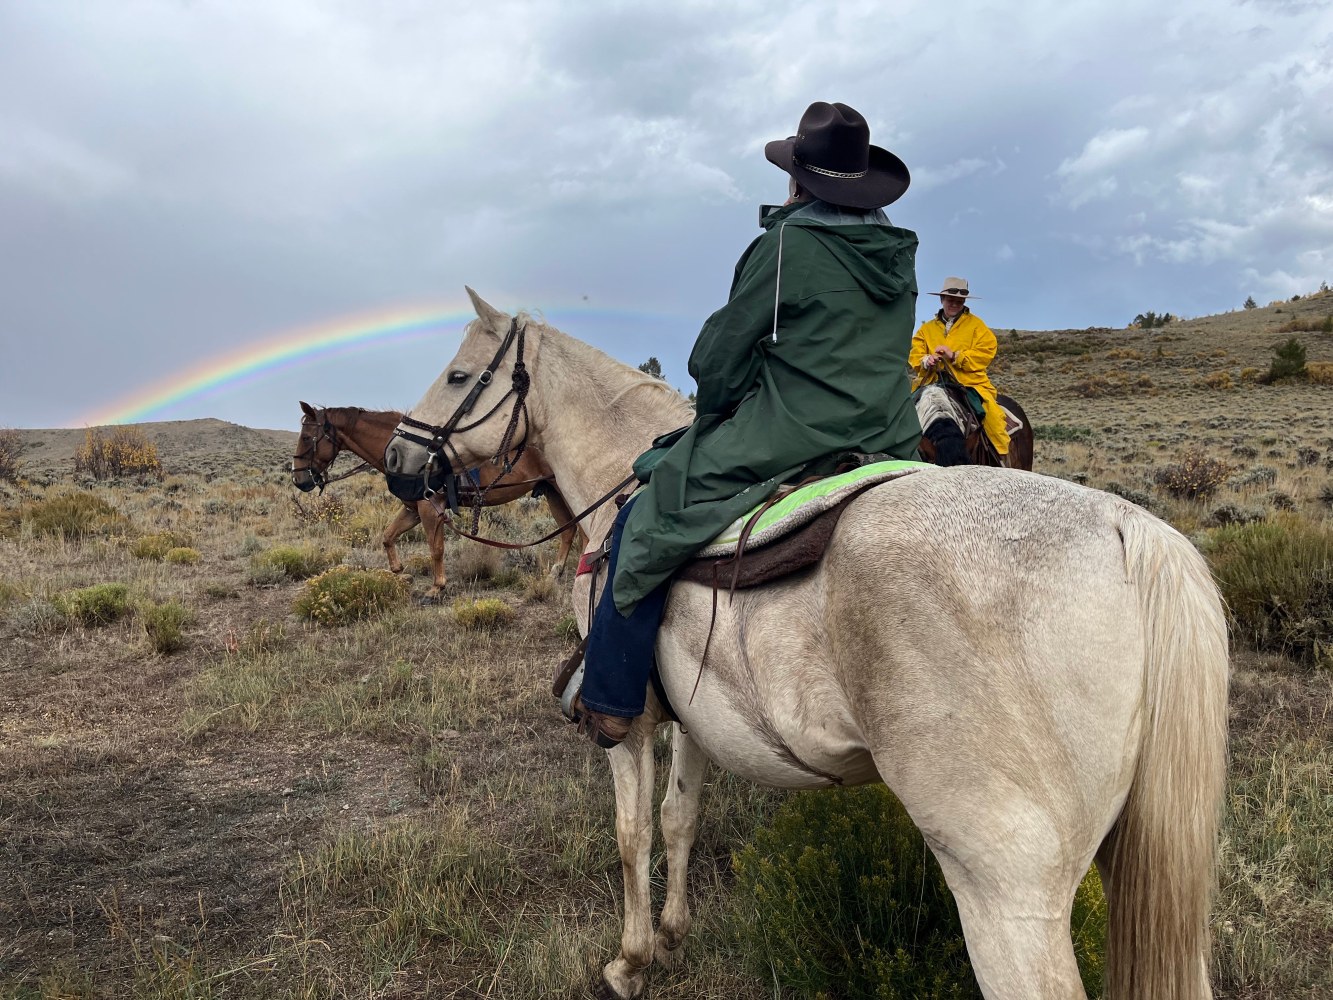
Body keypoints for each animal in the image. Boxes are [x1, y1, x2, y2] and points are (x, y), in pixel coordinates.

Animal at [291, 402, 583, 600]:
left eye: (306, 437)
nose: (298, 479)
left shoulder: (431, 510)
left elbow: (436, 549)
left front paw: (436, 587)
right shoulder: (413, 509)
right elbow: (388, 536)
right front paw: (400, 572)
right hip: (552, 492)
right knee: (569, 530)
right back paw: (556, 571)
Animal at [383, 289, 1226, 1000]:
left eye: (458, 374)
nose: (396, 459)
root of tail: (1126, 527)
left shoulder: (628, 724)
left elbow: (630, 835)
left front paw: (630, 961)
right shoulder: (697, 719)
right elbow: (679, 818)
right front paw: (674, 934)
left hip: (1005, 894)